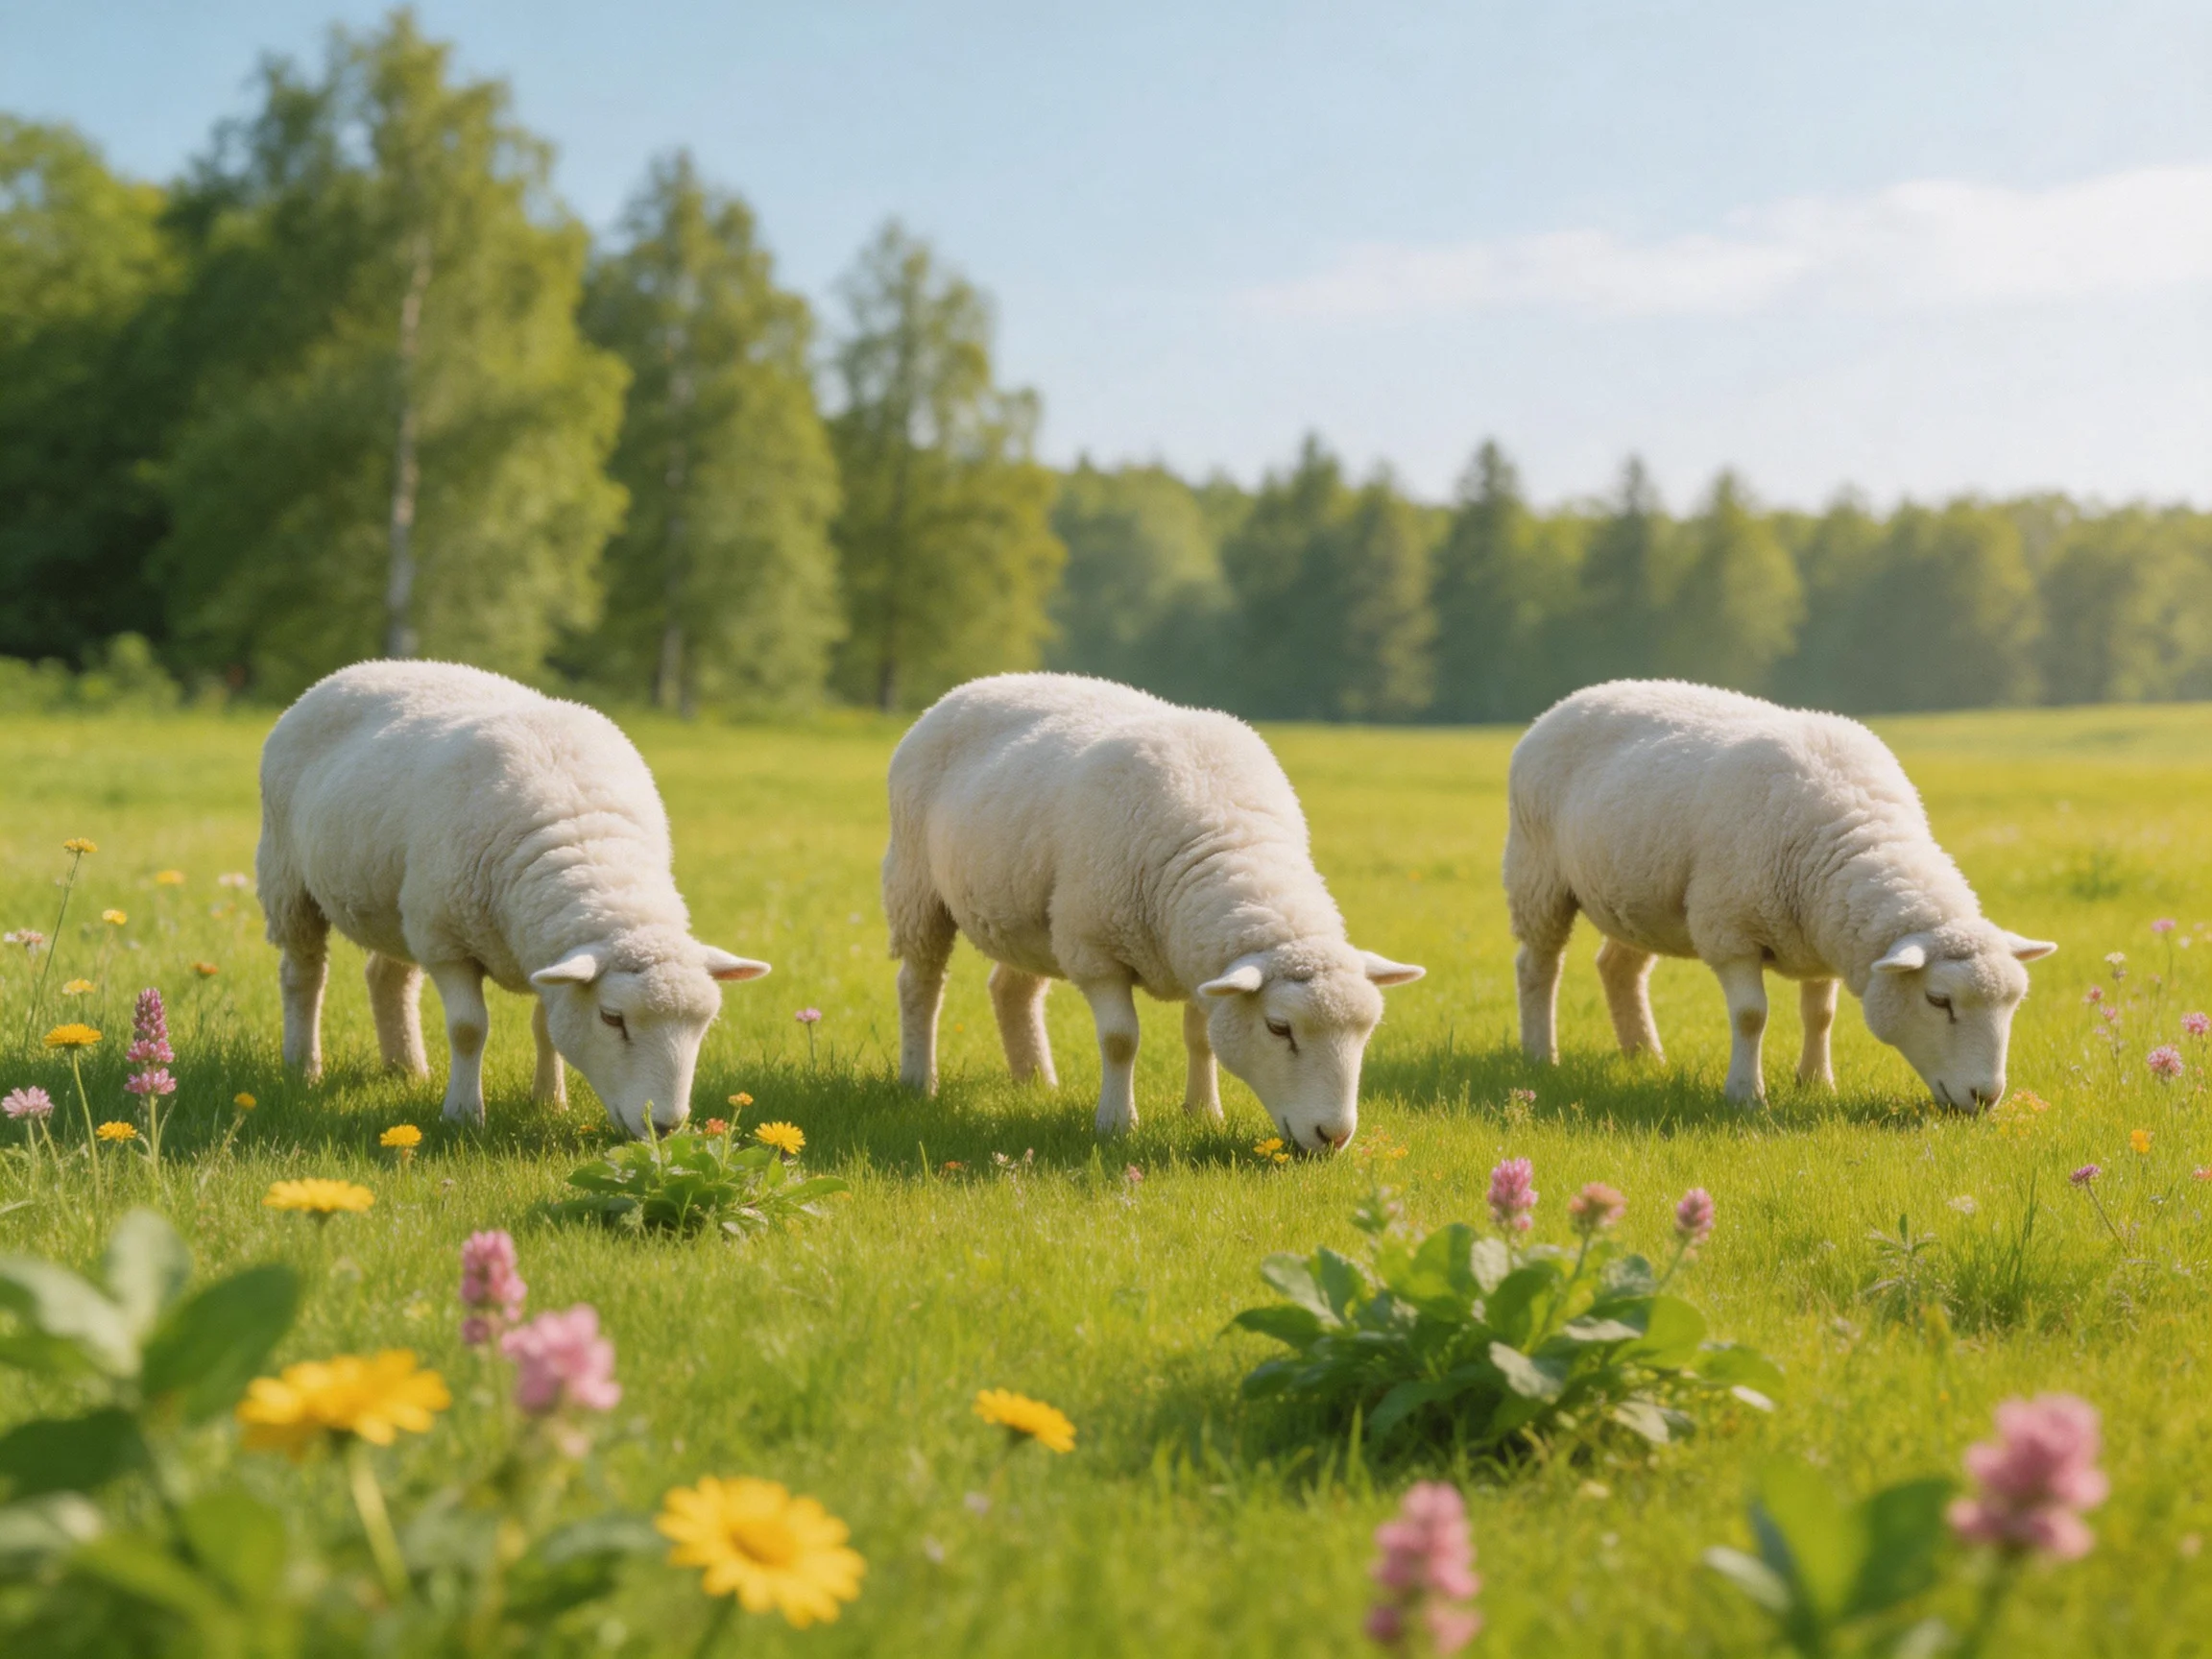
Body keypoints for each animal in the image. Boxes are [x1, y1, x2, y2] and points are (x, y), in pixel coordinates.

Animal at [257, 660, 769, 1136]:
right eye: (612, 1018)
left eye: (704, 1023)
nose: (664, 1126)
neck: (585, 837)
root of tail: (360, 668)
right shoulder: (446, 942)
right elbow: (468, 1029)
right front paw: (463, 1114)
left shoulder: (546, 952)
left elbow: (547, 1029)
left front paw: (549, 1102)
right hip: (288, 879)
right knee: (303, 975)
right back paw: (303, 1066)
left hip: (396, 904)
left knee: (388, 978)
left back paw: (406, 1069)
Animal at [883, 673, 1424, 1150]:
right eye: (1279, 1028)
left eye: (1366, 1031)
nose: (1334, 1137)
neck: (1229, 837)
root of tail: (977, 684)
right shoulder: (1095, 949)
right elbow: (1120, 1040)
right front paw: (1116, 1124)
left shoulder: (1199, 957)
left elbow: (1201, 1037)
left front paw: (1203, 1112)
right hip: (916, 884)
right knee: (920, 984)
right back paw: (918, 1080)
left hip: (1031, 918)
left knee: (1011, 990)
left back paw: (1035, 1083)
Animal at [1504, 679, 2054, 1108]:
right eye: (1938, 1000)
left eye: (2014, 1004)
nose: (1986, 1098)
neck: (1854, 827)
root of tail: (1575, 698)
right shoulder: (1728, 930)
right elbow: (1752, 1016)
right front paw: (1746, 1095)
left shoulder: (1824, 934)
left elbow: (1820, 1015)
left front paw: (1816, 1083)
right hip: (1537, 872)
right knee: (1538, 966)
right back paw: (1540, 1056)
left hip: (1638, 895)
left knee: (1618, 968)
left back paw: (1644, 1055)